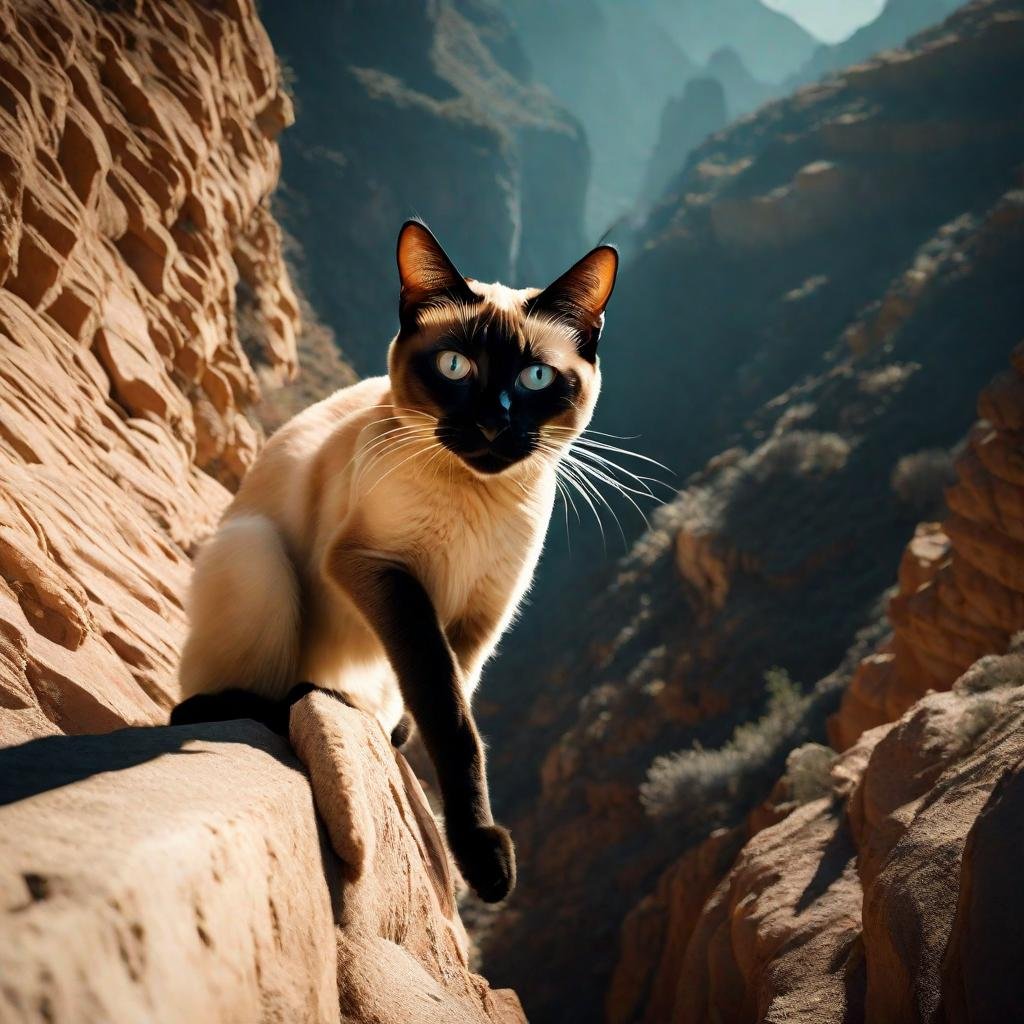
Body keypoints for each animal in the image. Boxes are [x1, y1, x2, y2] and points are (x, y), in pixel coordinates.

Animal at [171, 220, 614, 901]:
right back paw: (313, 696)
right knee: (226, 702)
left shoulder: (481, 614)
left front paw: (410, 741)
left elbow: (453, 695)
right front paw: (483, 858)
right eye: (456, 367)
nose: (493, 425)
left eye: (535, 379)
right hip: (258, 554)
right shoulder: (381, 571)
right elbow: (450, 715)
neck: (477, 495)